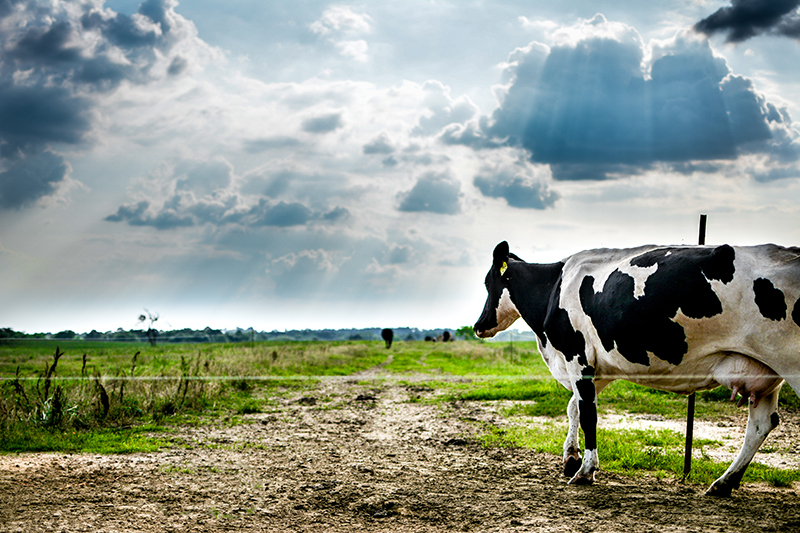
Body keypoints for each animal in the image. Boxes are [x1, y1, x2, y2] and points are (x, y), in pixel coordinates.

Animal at [474, 241, 800, 496]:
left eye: (489, 283)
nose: (478, 326)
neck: (555, 288)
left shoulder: (577, 355)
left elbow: (588, 415)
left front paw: (586, 470)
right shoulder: (594, 366)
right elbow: (574, 408)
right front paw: (570, 458)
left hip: (792, 366)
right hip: (767, 372)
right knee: (761, 425)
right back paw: (723, 483)